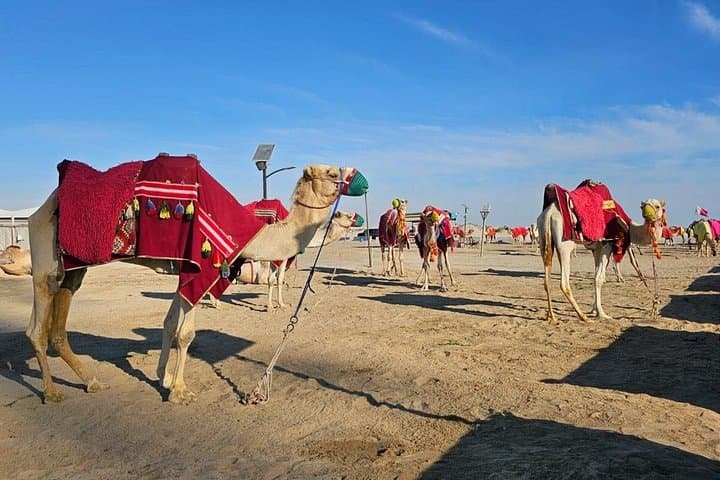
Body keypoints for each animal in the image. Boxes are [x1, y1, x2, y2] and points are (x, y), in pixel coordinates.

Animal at [26, 161, 366, 404]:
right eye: (332, 172)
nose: (361, 181)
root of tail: (39, 209)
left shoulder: (185, 270)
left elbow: (170, 324)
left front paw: (163, 378)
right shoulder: (199, 265)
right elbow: (186, 332)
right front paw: (179, 391)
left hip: (73, 267)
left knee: (59, 322)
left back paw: (93, 382)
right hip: (45, 252)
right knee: (37, 323)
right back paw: (51, 392)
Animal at [538, 182, 666, 323]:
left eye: (657, 206)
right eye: (642, 206)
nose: (647, 213)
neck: (629, 227)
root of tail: (550, 213)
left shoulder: (597, 249)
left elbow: (597, 276)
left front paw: (594, 309)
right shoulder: (606, 245)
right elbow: (599, 279)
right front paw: (602, 313)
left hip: (544, 239)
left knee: (547, 280)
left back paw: (551, 316)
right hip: (565, 244)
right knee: (564, 283)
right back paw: (583, 316)